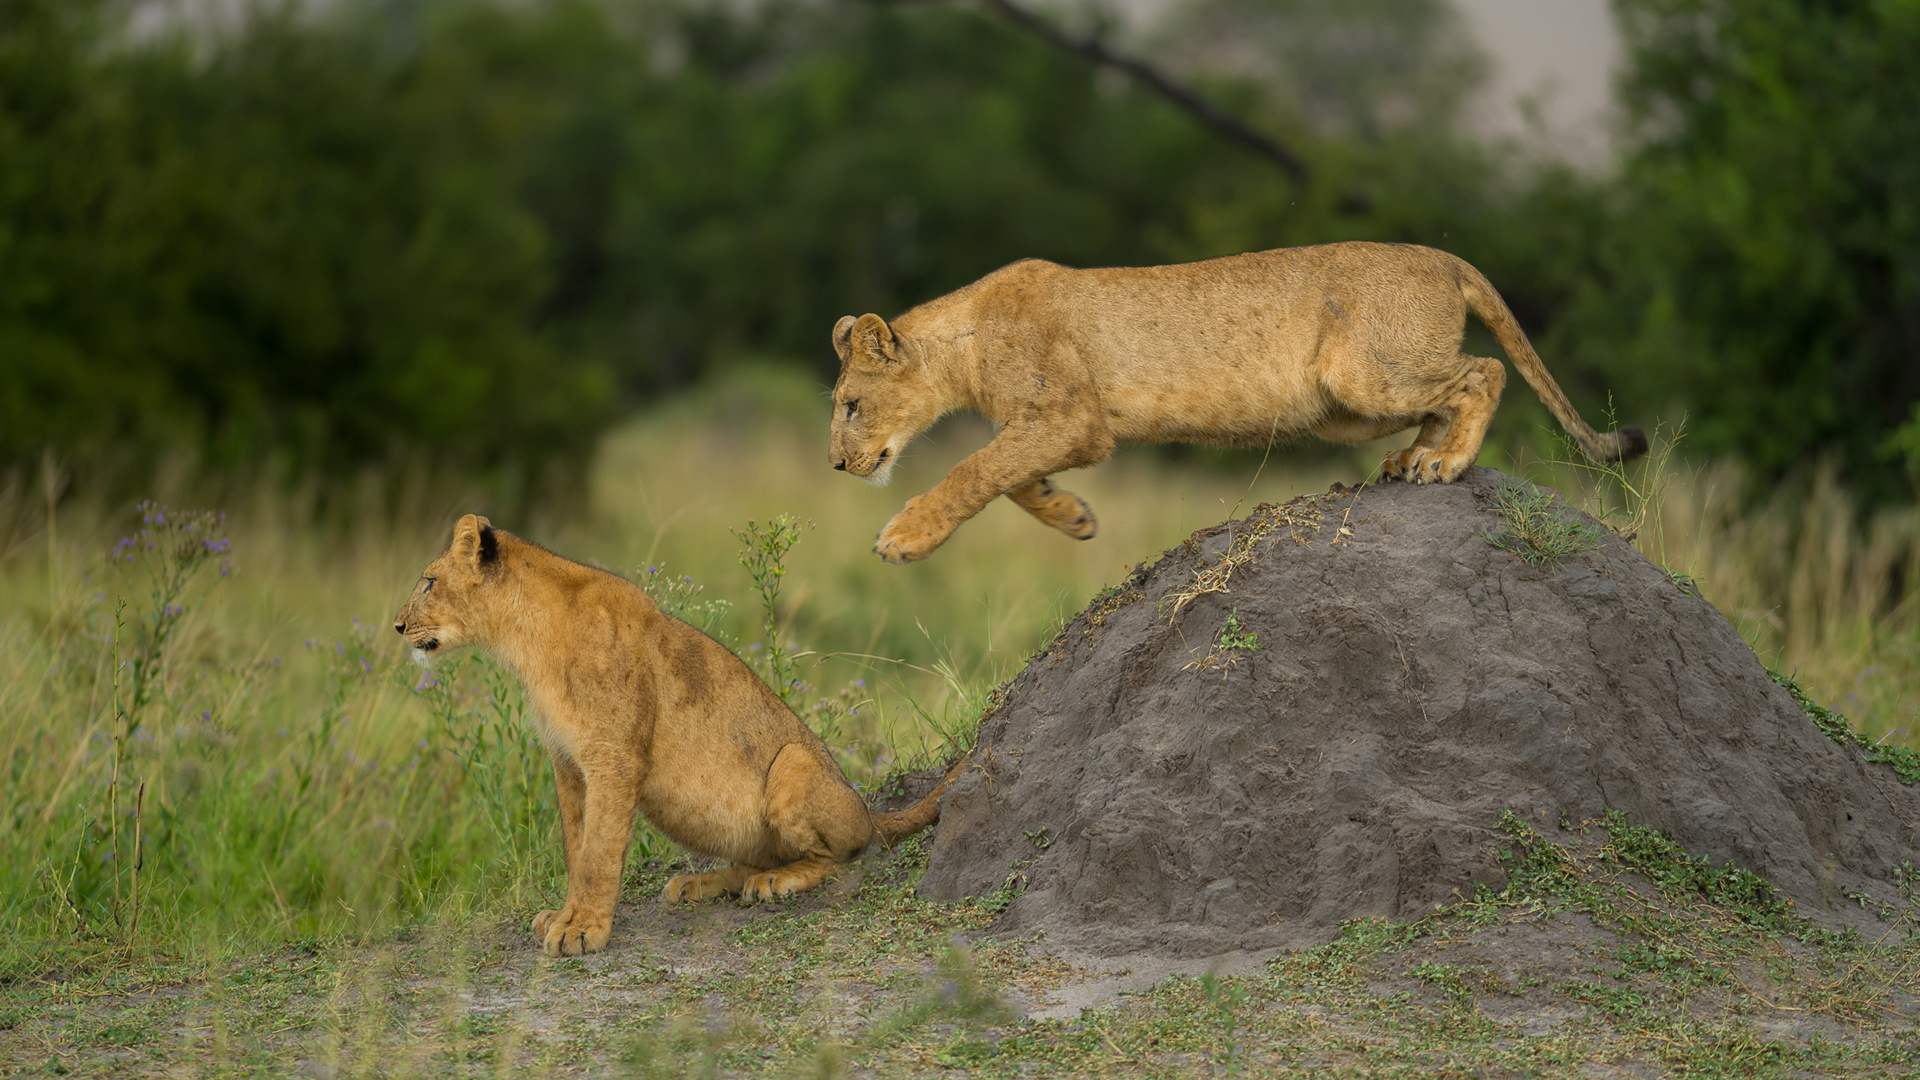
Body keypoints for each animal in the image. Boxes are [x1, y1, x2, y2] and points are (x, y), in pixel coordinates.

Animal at [393, 514, 958, 955]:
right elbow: (576, 846)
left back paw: (774, 882)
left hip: (796, 761)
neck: (524, 642)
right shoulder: (567, 760)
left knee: (843, 857)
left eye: (428, 582)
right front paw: (563, 915)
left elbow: (599, 852)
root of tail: (868, 811)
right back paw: (705, 882)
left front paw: (582, 931)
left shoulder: (614, 756)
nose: (397, 626)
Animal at [829, 241, 1646, 564]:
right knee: (1444, 396)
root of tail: (1440, 255)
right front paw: (1072, 514)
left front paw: (903, 536)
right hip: (1349, 406)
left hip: (1364, 374)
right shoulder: (1051, 426)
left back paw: (1446, 464)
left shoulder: (1073, 419)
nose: (837, 466)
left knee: (1483, 372)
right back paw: (1416, 458)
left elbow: (974, 470)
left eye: (848, 405)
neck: (963, 345)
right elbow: (1010, 477)